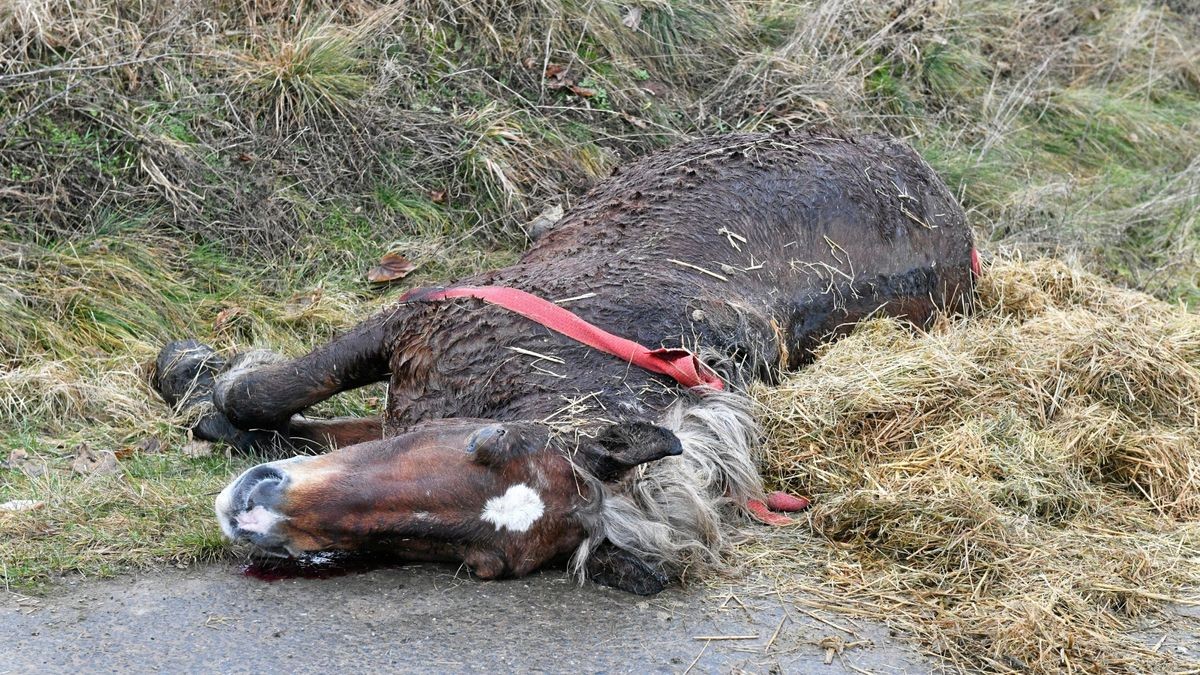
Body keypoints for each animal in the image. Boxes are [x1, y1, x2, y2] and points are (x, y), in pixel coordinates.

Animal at [152, 128, 974, 590]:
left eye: (478, 563)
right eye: (487, 441)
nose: (250, 508)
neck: (543, 366)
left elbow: (279, 415)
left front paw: (215, 410)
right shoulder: (411, 321)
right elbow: (266, 393)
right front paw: (190, 375)